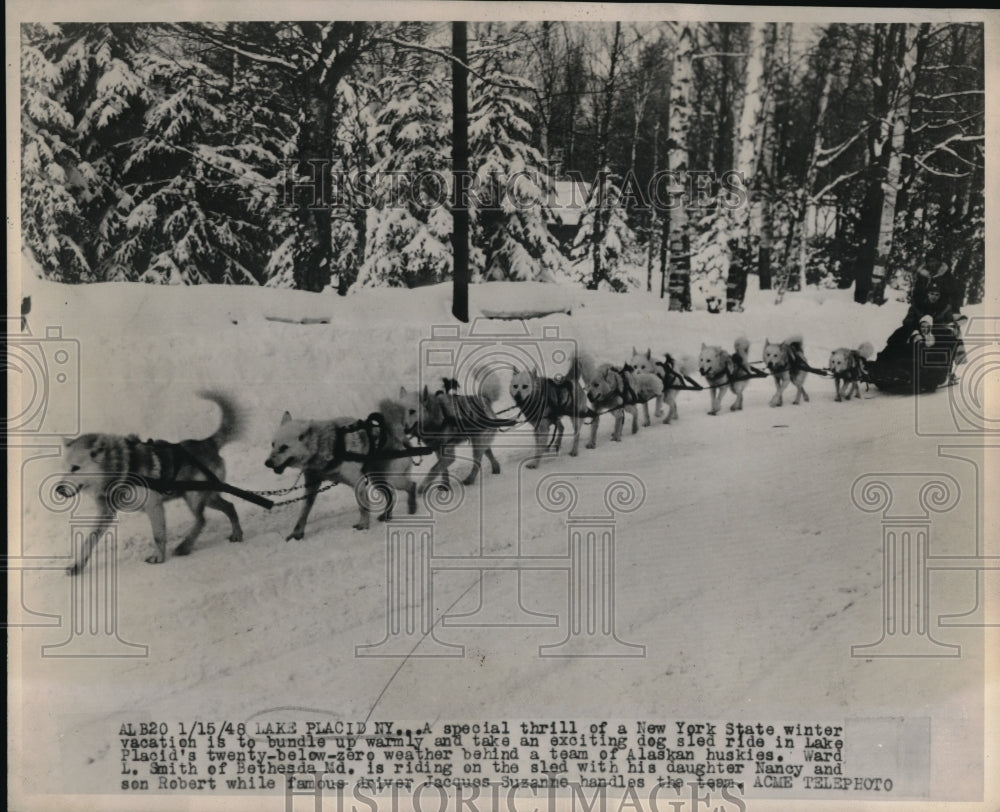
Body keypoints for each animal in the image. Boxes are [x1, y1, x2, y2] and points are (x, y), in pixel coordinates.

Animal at [55, 392, 246, 572]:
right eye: (64, 468)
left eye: (75, 468)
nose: (59, 490)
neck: (121, 469)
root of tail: (207, 443)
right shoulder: (105, 513)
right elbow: (88, 541)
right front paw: (77, 566)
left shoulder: (153, 506)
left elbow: (158, 535)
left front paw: (158, 557)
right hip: (206, 496)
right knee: (229, 507)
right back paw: (235, 533)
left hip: (193, 496)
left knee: (202, 520)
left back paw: (185, 546)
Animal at [264, 400, 416, 540]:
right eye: (273, 444)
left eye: (284, 447)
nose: (267, 463)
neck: (325, 445)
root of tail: (401, 439)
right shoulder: (311, 485)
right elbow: (304, 511)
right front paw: (297, 532)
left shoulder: (357, 482)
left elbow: (363, 506)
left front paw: (364, 524)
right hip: (378, 480)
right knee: (391, 495)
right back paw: (386, 515)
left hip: (391, 479)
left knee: (411, 485)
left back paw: (412, 507)